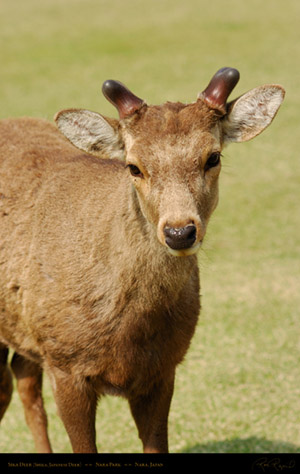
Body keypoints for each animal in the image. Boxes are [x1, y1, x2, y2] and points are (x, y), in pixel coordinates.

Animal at [0, 68, 284, 454]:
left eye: (213, 157)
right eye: (133, 167)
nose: (180, 232)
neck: (128, 334)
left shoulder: (163, 368)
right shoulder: (64, 363)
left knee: (23, 378)